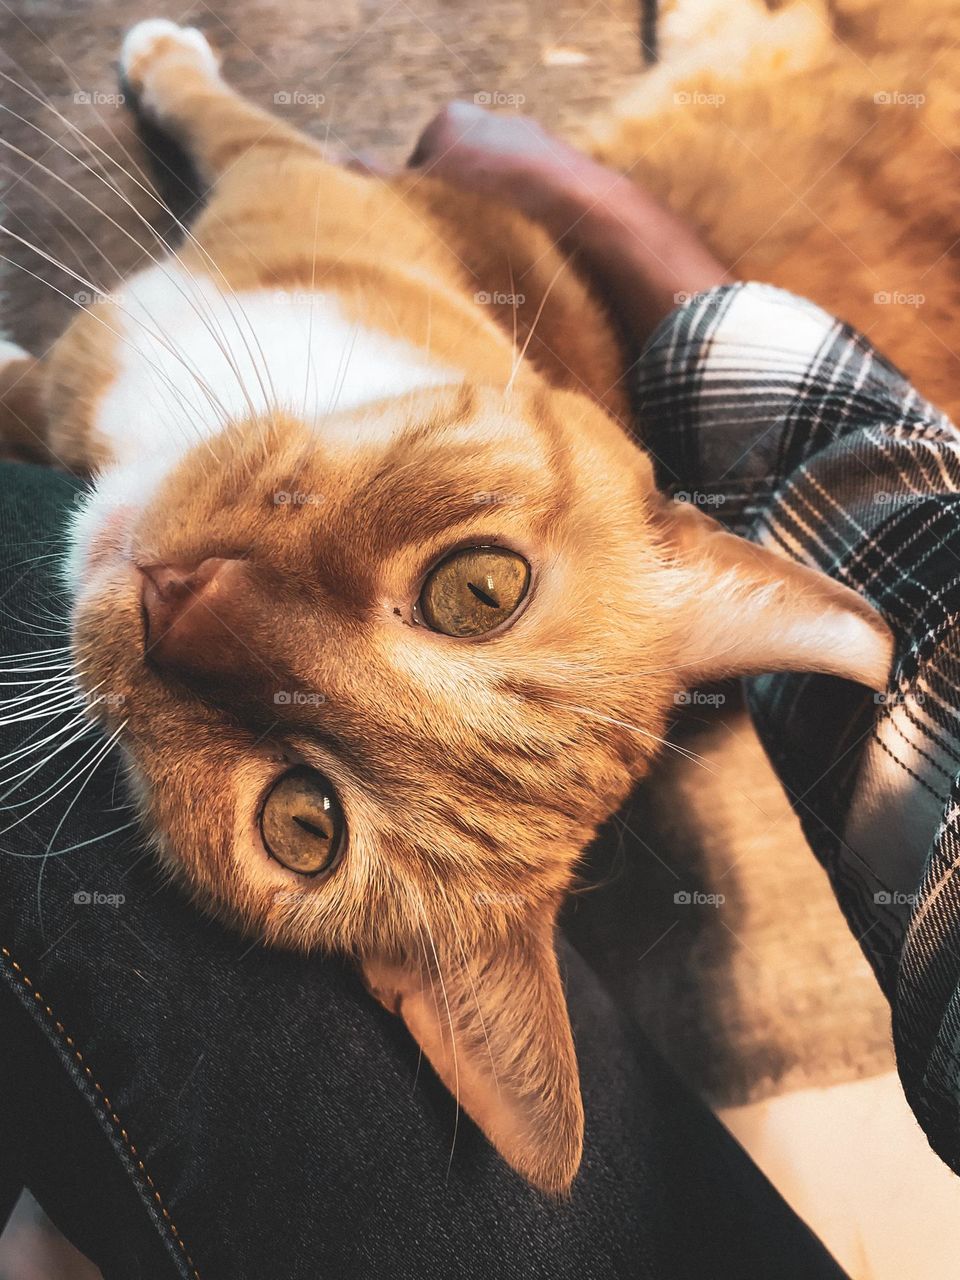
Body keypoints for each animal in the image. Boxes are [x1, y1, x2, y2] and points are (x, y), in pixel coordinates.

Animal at [0, 20, 896, 1192]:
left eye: (304, 822)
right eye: (478, 589)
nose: (182, 603)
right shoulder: (271, 174)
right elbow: (216, 112)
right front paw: (166, 61)